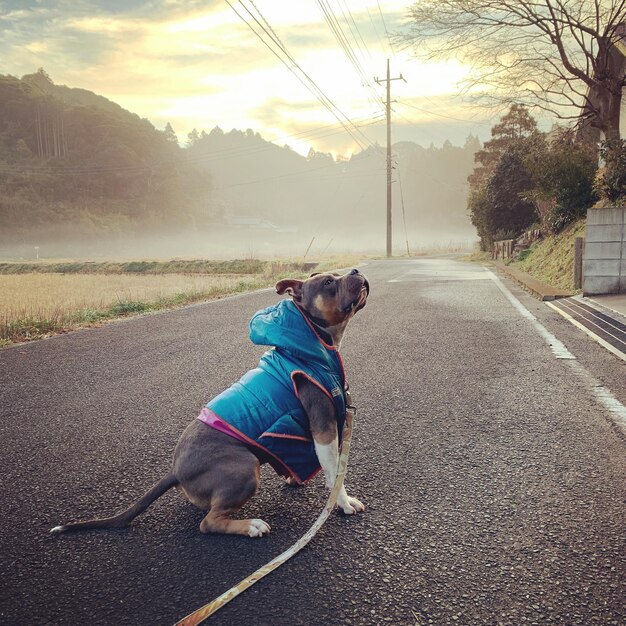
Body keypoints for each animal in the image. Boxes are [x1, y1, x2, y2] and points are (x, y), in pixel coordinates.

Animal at [52, 266, 370, 532]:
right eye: (328, 282)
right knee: (209, 522)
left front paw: (296, 479)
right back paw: (251, 526)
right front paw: (342, 503)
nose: (356, 270)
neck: (309, 346)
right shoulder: (324, 426)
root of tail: (174, 471)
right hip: (243, 466)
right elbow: (336, 471)